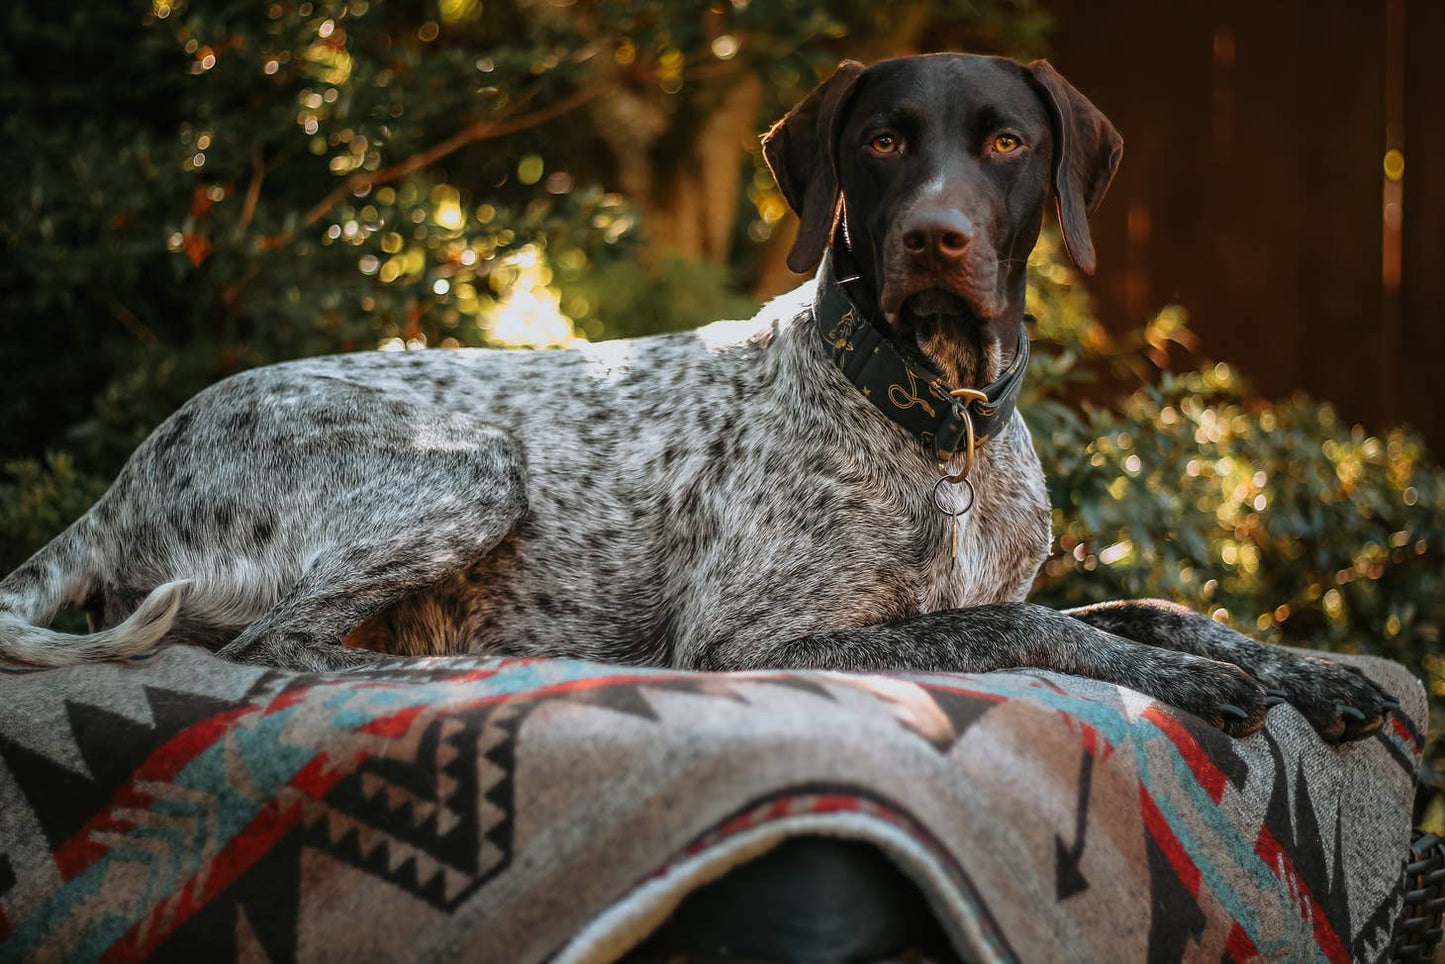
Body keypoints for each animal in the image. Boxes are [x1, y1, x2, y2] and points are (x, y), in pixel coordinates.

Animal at [2, 52, 1398, 745]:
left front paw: (1300, 665)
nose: (937, 240)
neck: (929, 414)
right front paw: (1189, 679)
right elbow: (1029, 627)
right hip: (472, 469)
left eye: (1006, 142)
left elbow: (1145, 604)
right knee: (269, 646)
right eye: (883, 141)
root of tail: (130, 472)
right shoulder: (751, 643)